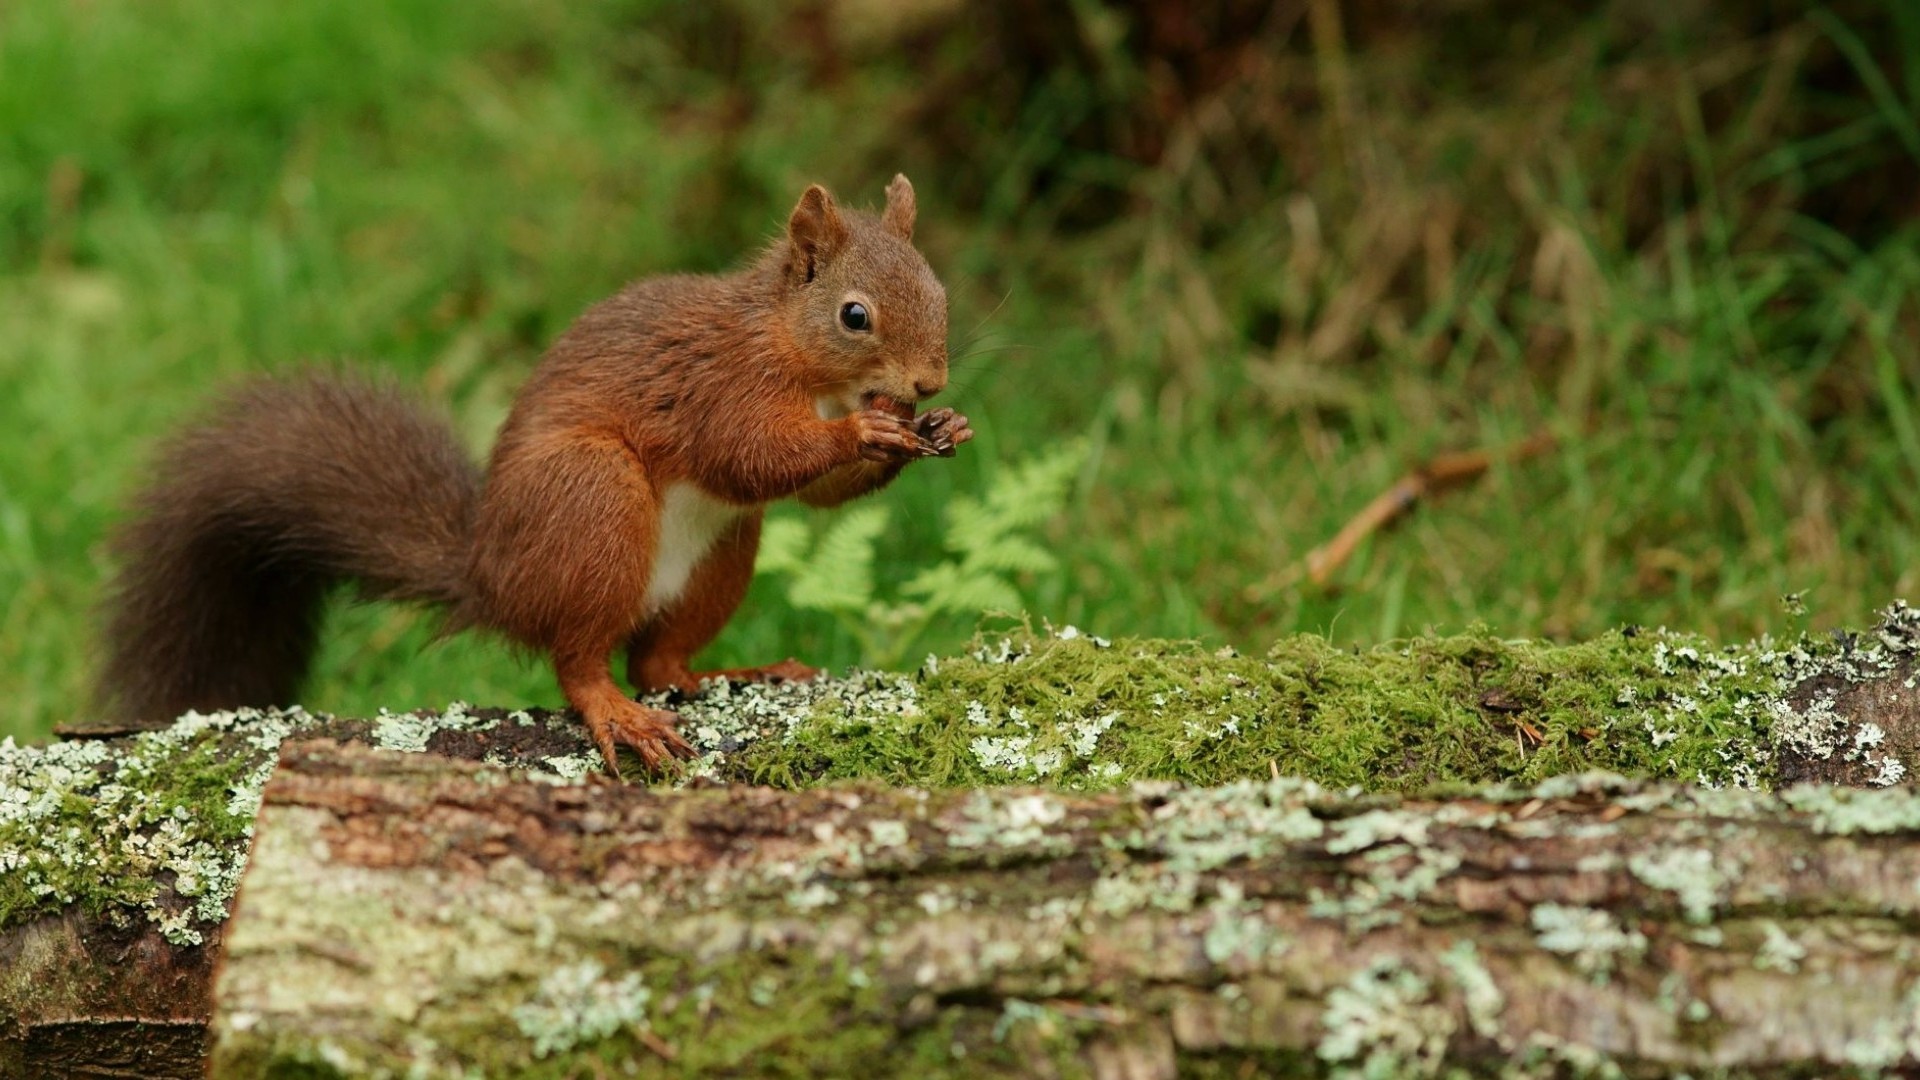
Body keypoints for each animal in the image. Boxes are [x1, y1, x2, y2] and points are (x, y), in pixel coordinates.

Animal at [103, 174, 967, 764]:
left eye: (939, 290)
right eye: (855, 315)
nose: (929, 383)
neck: (791, 348)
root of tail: (491, 579)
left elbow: (816, 497)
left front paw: (934, 428)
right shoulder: (719, 385)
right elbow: (749, 453)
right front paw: (864, 430)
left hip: (722, 554)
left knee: (656, 659)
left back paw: (739, 673)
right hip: (592, 502)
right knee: (580, 660)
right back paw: (618, 713)